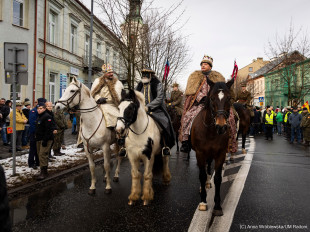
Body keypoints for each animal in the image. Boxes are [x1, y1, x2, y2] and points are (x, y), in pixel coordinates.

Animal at [190, 76, 234, 216]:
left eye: (229, 98)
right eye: (212, 98)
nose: (221, 126)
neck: (210, 131)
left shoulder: (220, 153)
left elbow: (218, 178)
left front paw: (218, 206)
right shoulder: (200, 153)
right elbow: (202, 175)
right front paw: (203, 202)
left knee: (208, 167)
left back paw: (208, 183)